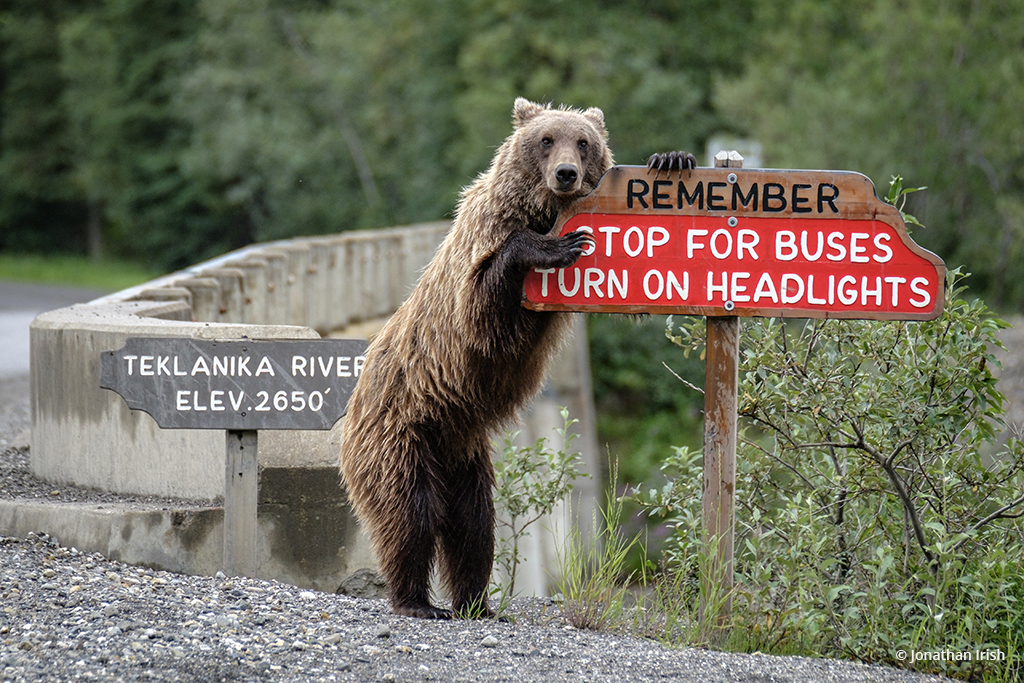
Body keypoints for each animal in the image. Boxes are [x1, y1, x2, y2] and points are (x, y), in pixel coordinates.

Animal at [339, 97, 614, 618]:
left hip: (464, 457)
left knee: (474, 526)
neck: (537, 209)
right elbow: (485, 308)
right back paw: (416, 601)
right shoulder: (475, 263)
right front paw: (557, 245)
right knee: (409, 514)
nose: (566, 173)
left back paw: (475, 601)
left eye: (583, 141)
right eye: (545, 139)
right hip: (402, 433)